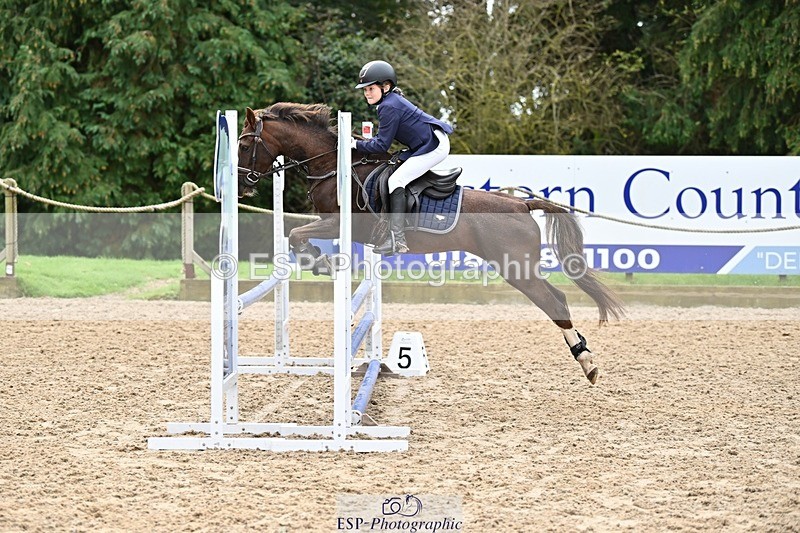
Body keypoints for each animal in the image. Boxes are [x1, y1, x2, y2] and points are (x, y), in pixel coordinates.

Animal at [236, 103, 624, 384]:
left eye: (243, 144)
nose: (241, 188)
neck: (333, 167)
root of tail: (522, 204)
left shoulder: (339, 224)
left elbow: (296, 235)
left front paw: (318, 261)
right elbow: (297, 236)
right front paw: (318, 260)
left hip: (516, 268)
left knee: (555, 302)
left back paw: (587, 363)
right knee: (556, 299)